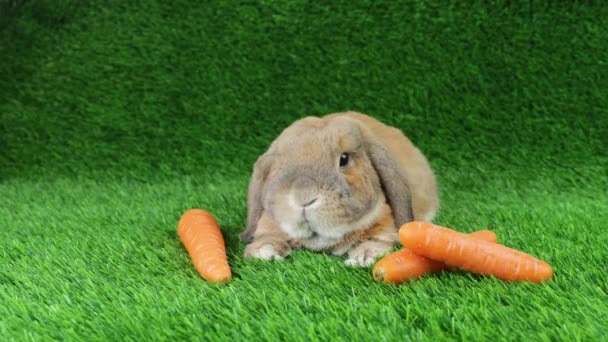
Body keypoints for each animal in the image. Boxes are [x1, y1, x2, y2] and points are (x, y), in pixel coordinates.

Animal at [240, 112, 440, 268]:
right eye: (279, 167)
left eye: (344, 159)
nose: (304, 197)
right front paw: (264, 252)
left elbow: (378, 240)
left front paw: (363, 257)